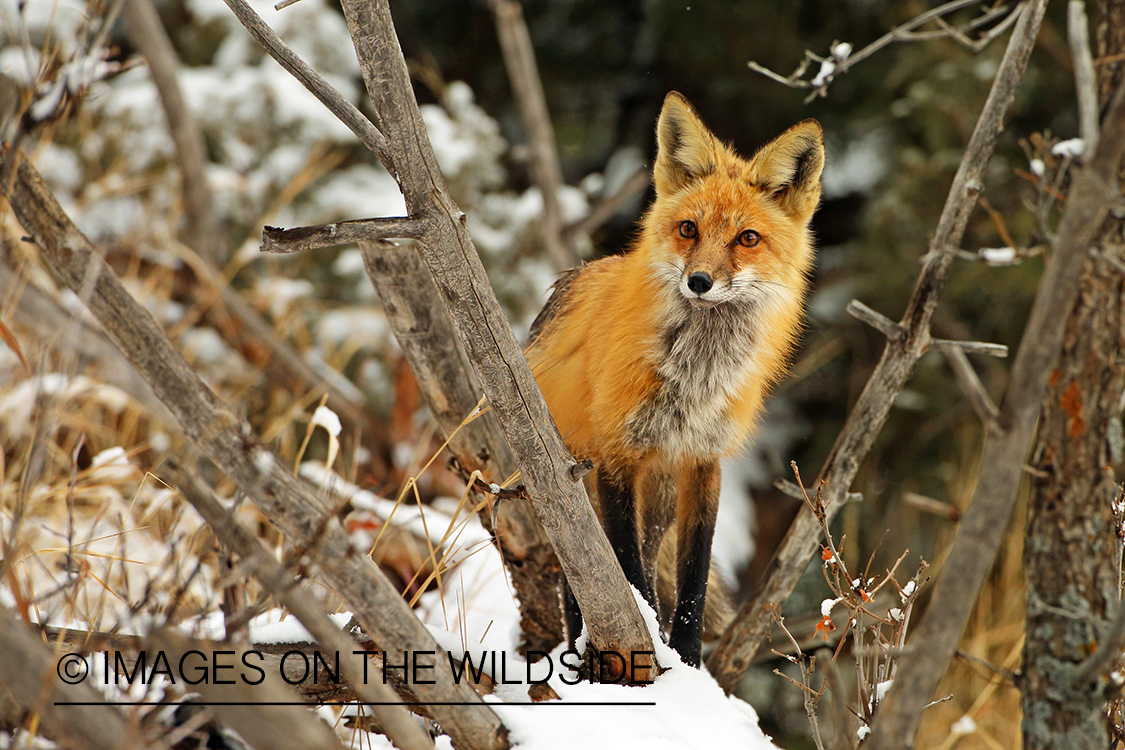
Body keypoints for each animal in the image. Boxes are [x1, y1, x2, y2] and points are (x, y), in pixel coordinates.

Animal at [526, 91, 828, 665]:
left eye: (747, 238)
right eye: (689, 229)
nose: (700, 281)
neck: (695, 380)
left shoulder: (704, 460)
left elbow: (693, 578)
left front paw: (686, 661)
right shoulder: (616, 454)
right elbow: (627, 569)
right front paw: (650, 648)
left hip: (660, 494)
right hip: (573, 488)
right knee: (579, 580)